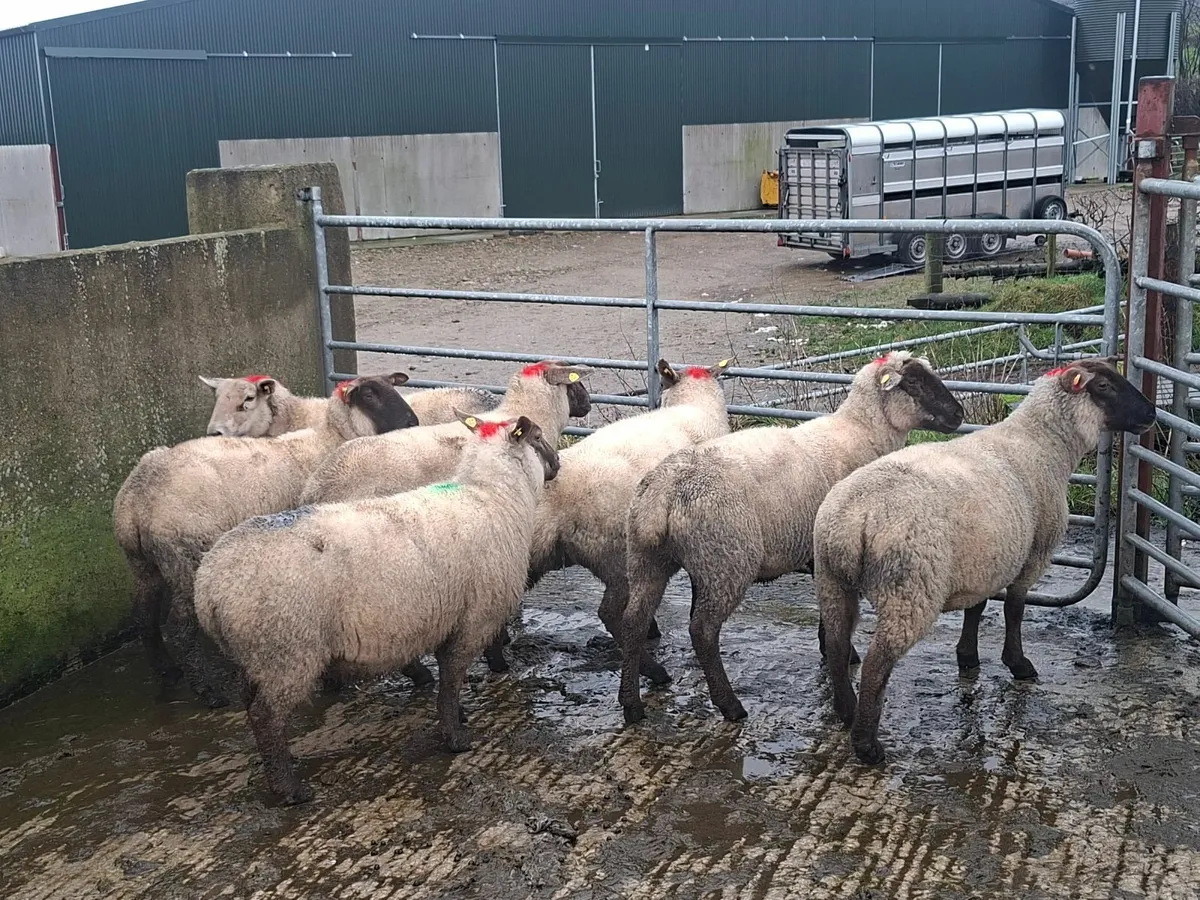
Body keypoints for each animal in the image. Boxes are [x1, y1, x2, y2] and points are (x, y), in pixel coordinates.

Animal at [113, 373, 420, 708]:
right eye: (370, 396)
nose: (412, 422)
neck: (328, 437)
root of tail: (139, 495)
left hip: (141, 562)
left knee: (144, 617)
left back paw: (166, 672)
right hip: (183, 559)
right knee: (180, 629)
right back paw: (207, 691)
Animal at [193, 413, 561, 804]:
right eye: (538, 437)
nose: (559, 463)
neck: (493, 496)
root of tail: (207, 586)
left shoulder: (450, 620)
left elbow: (450, 681)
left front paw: (457, 717)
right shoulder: (474, 619)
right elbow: (451, 678)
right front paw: (456, 737)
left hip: (256, 655)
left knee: (252, 706)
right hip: (286, 650)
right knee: (266, 716)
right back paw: (291, 790)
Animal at [618, 352, 965, 725]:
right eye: (912, 382)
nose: (958, 414)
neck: (860, 434)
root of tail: (666, 490)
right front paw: (843, 656)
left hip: (648, 557)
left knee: (633, 621)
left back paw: (632, 704)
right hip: (726, 560)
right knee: (702, 632)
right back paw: (730, 705)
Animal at [813, 357, 1156, 765]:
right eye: (1104, 386)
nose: (1151, 414)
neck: (1043, 446)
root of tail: (854, 516)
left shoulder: (984, 559)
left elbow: (976, 609)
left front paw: (968, 657)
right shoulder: (1032, 553)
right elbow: (1014, 610)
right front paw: (1018, 664)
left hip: (833, 580)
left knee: (836, 646)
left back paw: (845, 711)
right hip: (909, 587)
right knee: (877, 662)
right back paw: (867, 744)